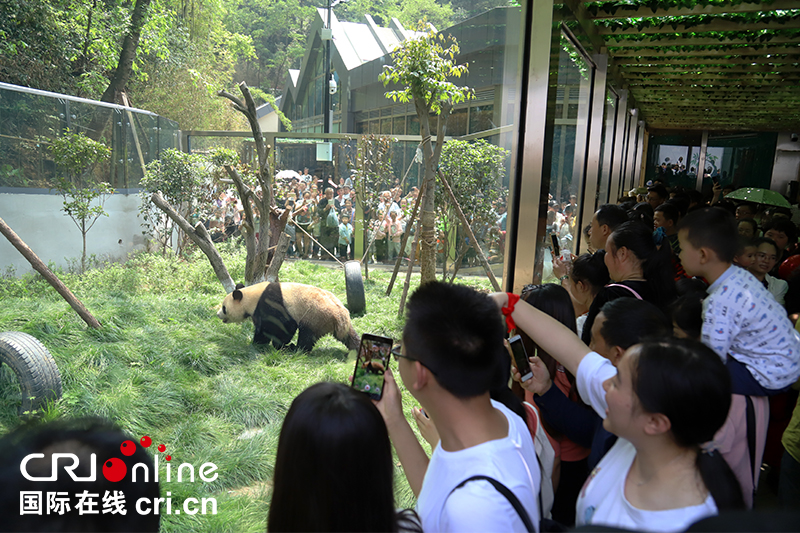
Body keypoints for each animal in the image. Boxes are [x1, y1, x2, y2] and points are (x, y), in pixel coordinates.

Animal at [216, 280, 360, 352]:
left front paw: (276, 345)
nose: (218, 314)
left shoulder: (271, 304)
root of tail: (340, 317)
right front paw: (259, 343)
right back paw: (357, 350)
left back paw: (296, 349)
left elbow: (283, 326)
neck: (253, 296)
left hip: (317, 317)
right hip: (337, 322)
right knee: (349, 336)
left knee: (307, 335)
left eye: (224, 308)